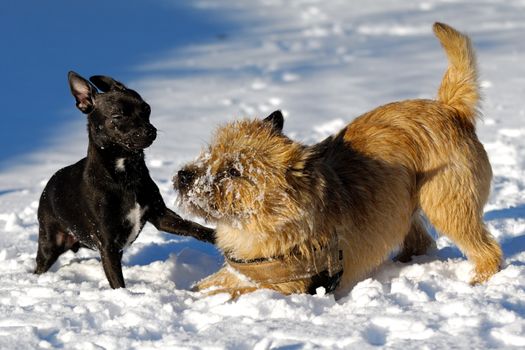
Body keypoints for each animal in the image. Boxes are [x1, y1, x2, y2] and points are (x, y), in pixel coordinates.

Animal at [34, 72, 213, 288]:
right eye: (117, 117)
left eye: (147, 109)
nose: (150, 130)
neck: (125, 173)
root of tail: (48, 186)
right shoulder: (108, 246)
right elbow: (118, 283)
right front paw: (125, 294)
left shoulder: (160, 215)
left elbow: (192, 226)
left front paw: (216, 236)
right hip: (50, 243)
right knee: (40, 265)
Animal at [174, 22, 502, 298]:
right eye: (211, 152)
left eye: (234, 171)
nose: (183, 175)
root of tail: (450, 109)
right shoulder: (242, 273)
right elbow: (209, 283)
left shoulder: (286, 286)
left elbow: (229, 293)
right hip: (400, 206)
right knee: (420, 241)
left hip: (447, 204)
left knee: (487, 250)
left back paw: (479, 279)